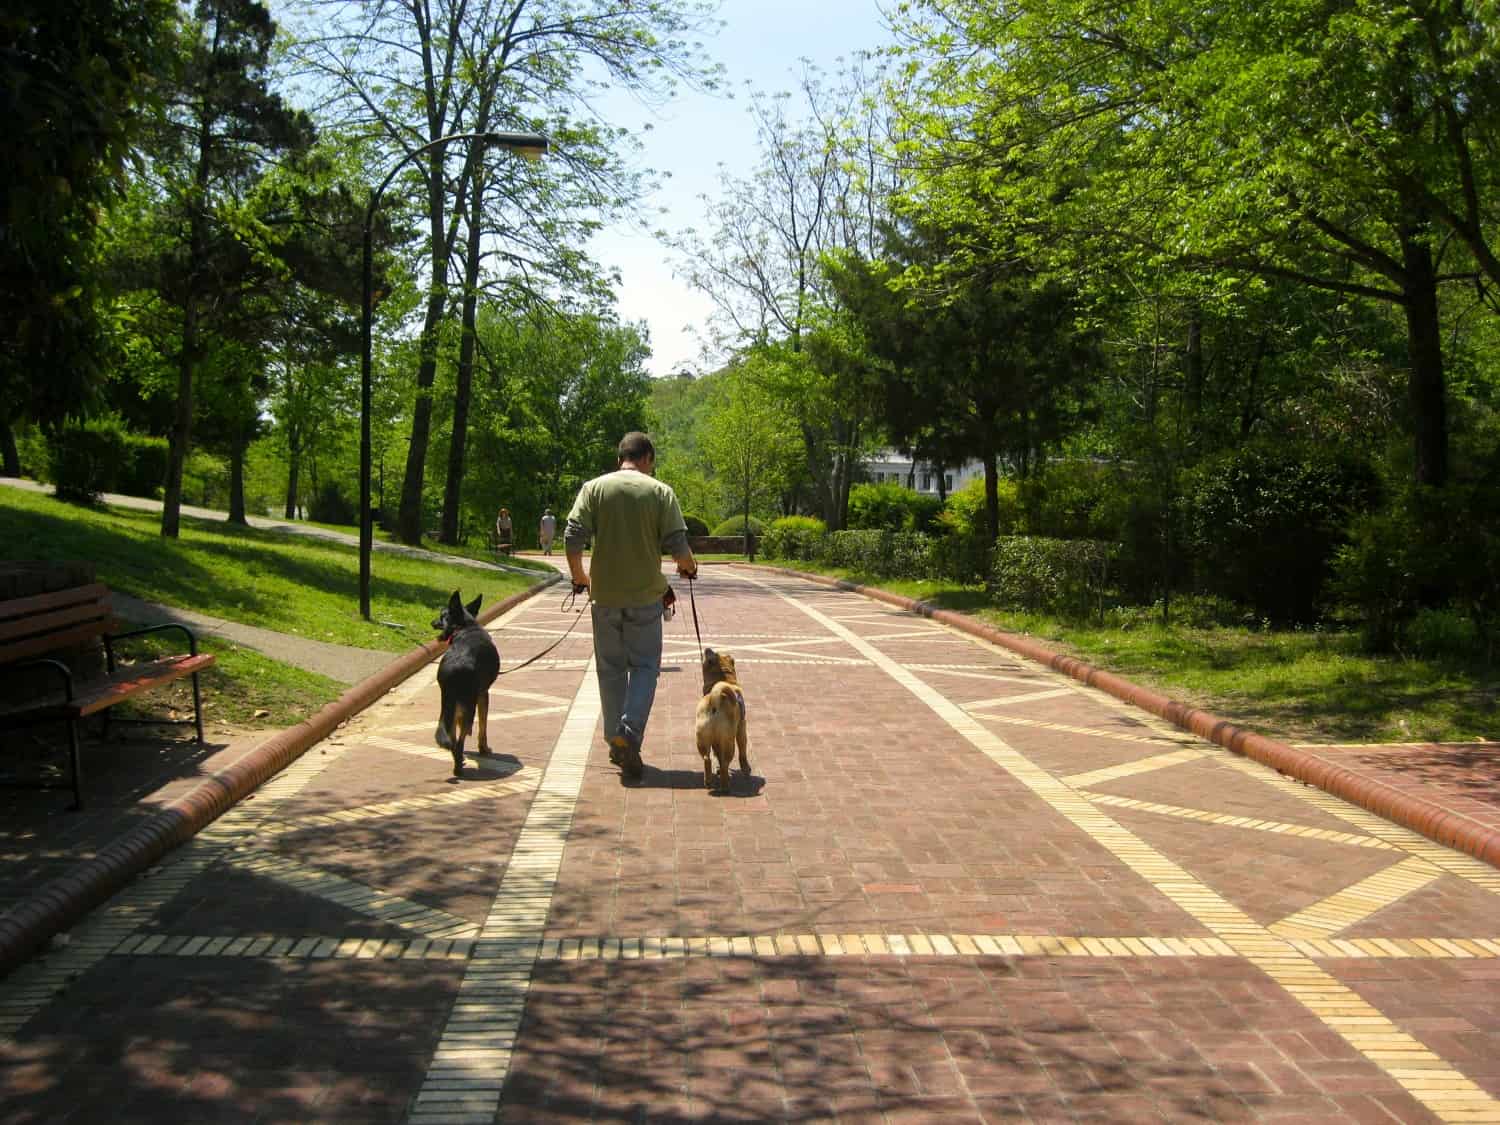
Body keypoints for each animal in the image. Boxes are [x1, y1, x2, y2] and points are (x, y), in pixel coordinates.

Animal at [699, 648, 756, 798]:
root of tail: (715, 700)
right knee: (725, 763)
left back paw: (708, 781)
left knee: (707, 759)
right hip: (729, 742)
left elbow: (717, 755)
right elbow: (743, 752)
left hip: (702, 739)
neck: (723, 678)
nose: (707, 648)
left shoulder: (716, 742)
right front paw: (746, 769)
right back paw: (725, 786)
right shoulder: (741, 728)